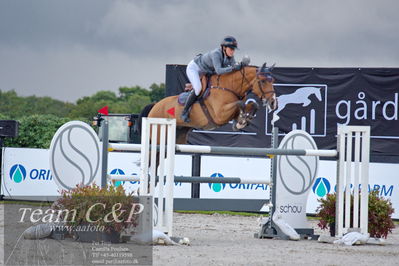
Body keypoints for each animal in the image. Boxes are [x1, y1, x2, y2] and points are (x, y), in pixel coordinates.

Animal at [141, 62, 278, 143]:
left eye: (273, 81)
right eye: (263, 81)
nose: (273, 103)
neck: (228, 87)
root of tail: (154, 106)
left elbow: (252, 104)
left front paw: (243, 120)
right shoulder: (220, 115)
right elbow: (239, 104)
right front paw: (241, 121)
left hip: (178, 137)